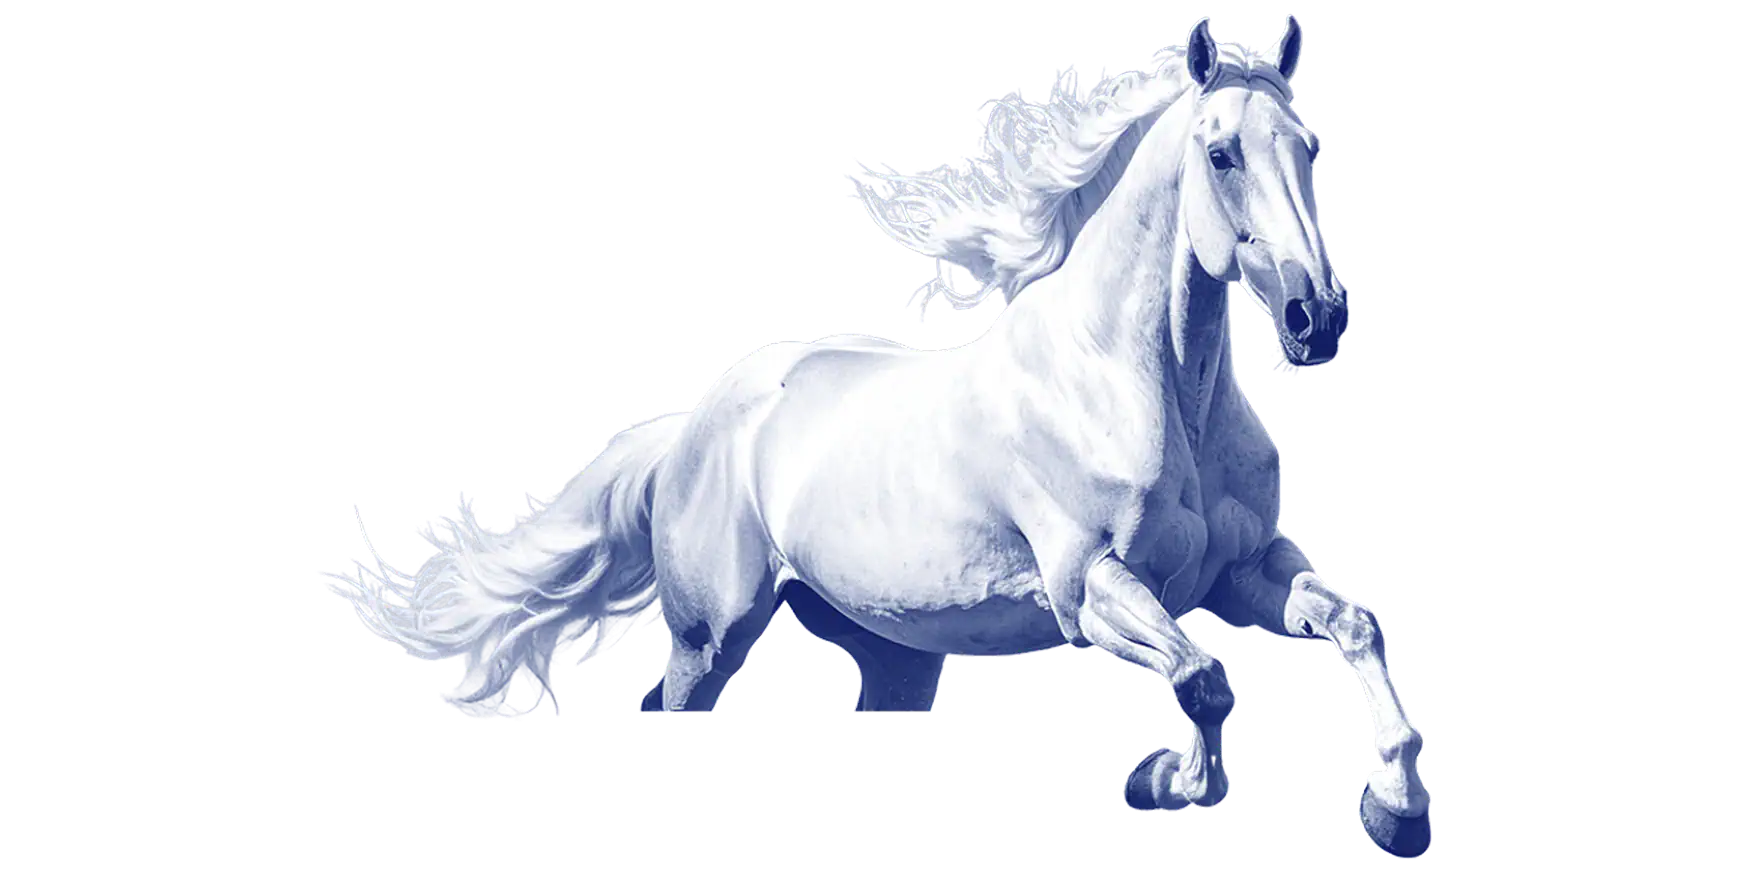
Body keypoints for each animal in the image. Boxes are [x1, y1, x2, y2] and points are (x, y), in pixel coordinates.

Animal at [315, 15, 1430, 858]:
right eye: (1220, 151)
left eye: (1310, 149)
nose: (1315, 319)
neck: (1141, 383)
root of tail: (691, 425)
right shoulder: (1090, 589)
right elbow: (1202, 678)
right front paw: (1165, 781)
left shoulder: (1243, 569)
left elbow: (1353, 626)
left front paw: (1394, 809)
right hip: (708, 633)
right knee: (672, 698)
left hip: (893, 655)